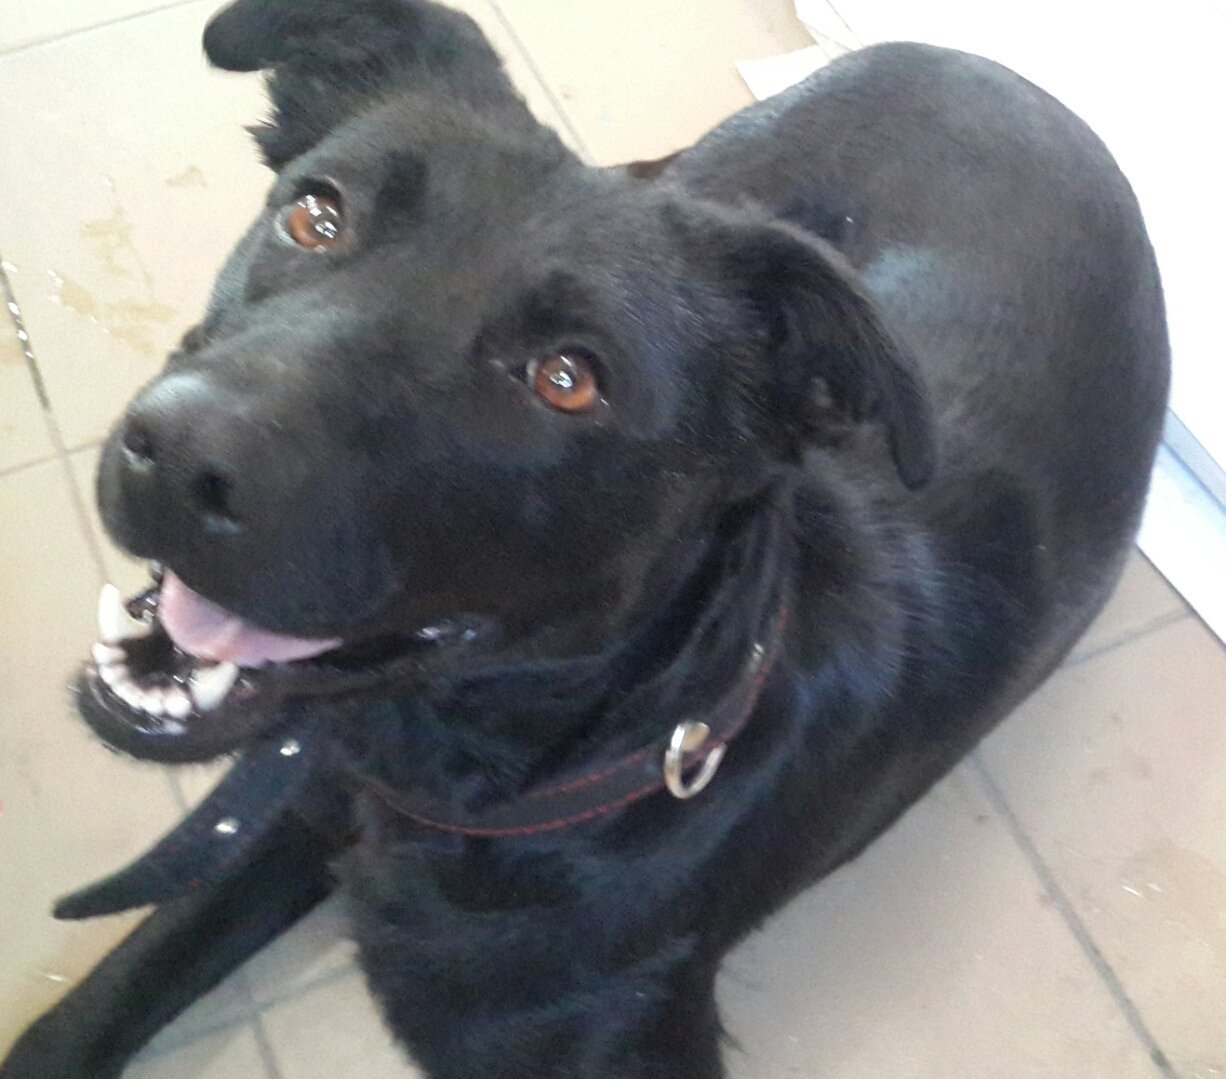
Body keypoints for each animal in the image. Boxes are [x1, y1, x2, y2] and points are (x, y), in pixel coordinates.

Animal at [0, 1, 1169, 1076]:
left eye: (567, 379)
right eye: (316, 218)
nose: (174, 455)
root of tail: (999, 69)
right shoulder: (286, 809)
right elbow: (103, 992)